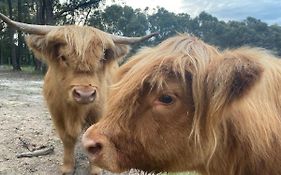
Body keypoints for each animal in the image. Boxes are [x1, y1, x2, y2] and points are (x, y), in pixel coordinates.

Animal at [0, 13, 155, 174]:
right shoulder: (57, 113)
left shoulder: (99, 111)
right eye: (63, 57)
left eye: (101, 59)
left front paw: (95, 169)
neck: (75, 112)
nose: (85, 94)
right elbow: (67, 138)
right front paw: (68, 167)